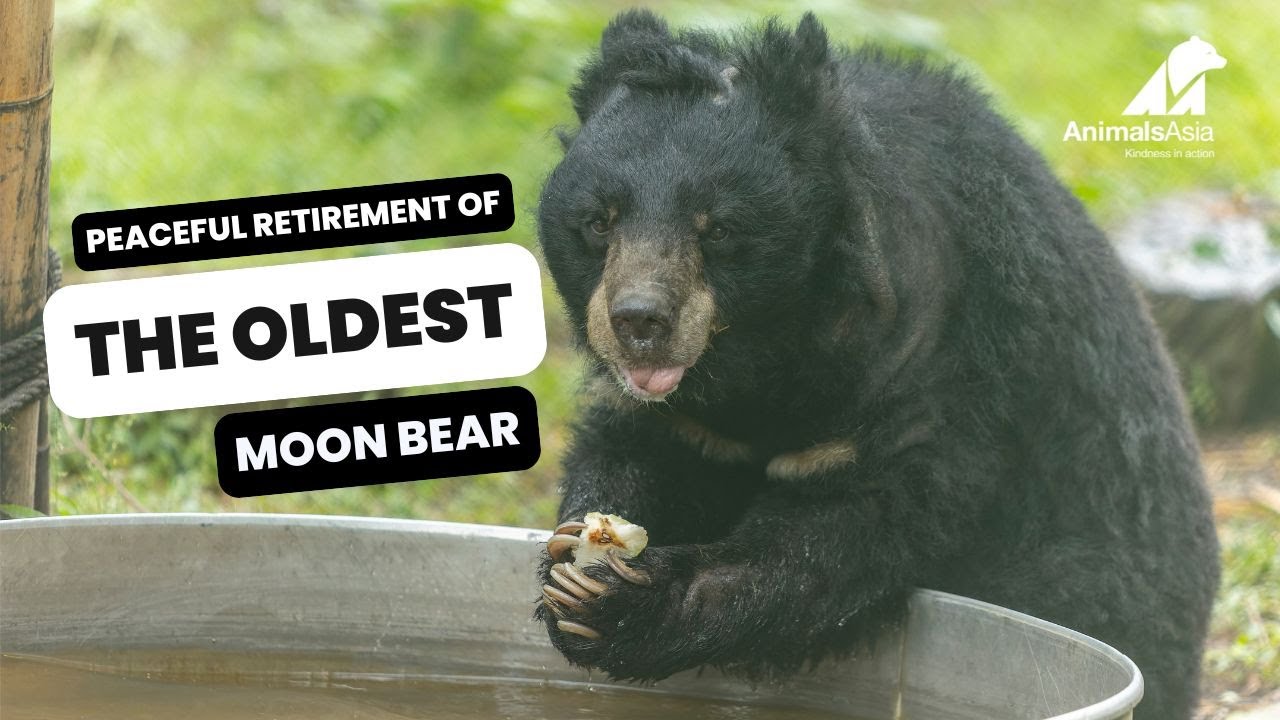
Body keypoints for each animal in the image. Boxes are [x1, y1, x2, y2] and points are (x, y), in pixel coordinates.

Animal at [534, 11, 1220, 720]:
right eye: (598, 222)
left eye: (718, 228)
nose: (640, 322)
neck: (767, 362)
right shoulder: (690, 421)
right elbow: (639, 452)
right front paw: (574, 562)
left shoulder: (924, 358)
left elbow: (842, 528)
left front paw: (620, 602)